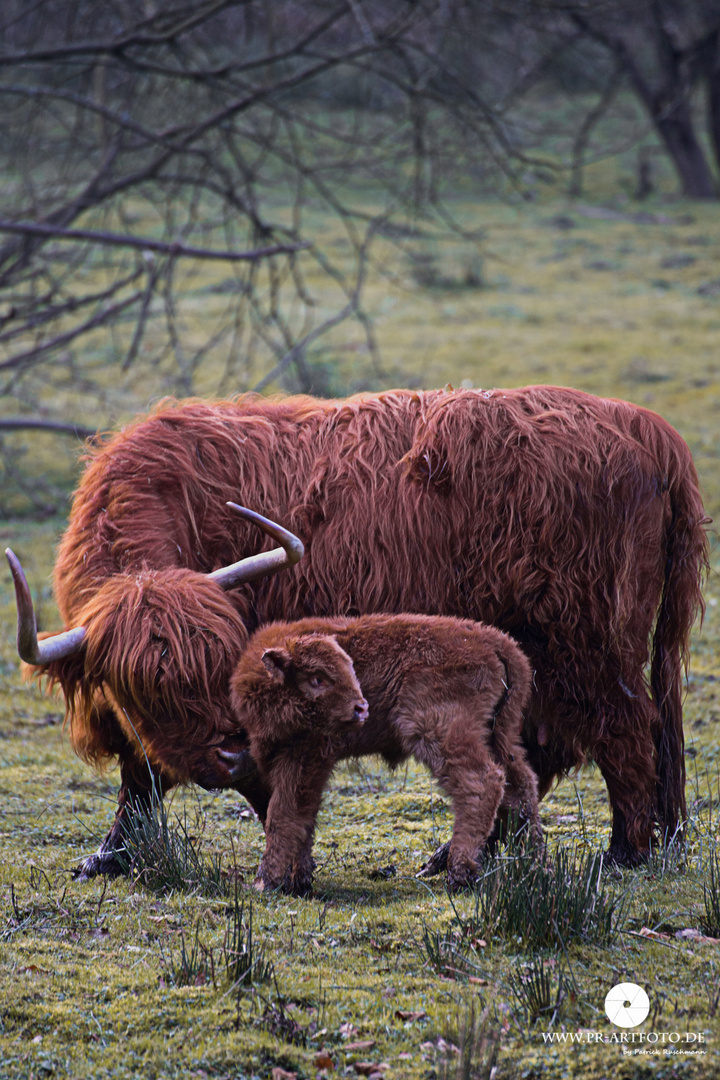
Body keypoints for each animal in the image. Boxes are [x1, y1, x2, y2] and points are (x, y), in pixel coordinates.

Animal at [226, 617, 539, 894]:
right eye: (316, 678)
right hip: (501, 734)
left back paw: (460, 875)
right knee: (521, 787)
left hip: (442, 732)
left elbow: (283, 816)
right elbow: (303, 820)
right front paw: (298, 881)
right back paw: (535, 863)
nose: (361, 708)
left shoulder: (303, 760)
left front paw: (266, 882)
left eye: (350, 670)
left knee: (482, 783)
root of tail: (497, 641)